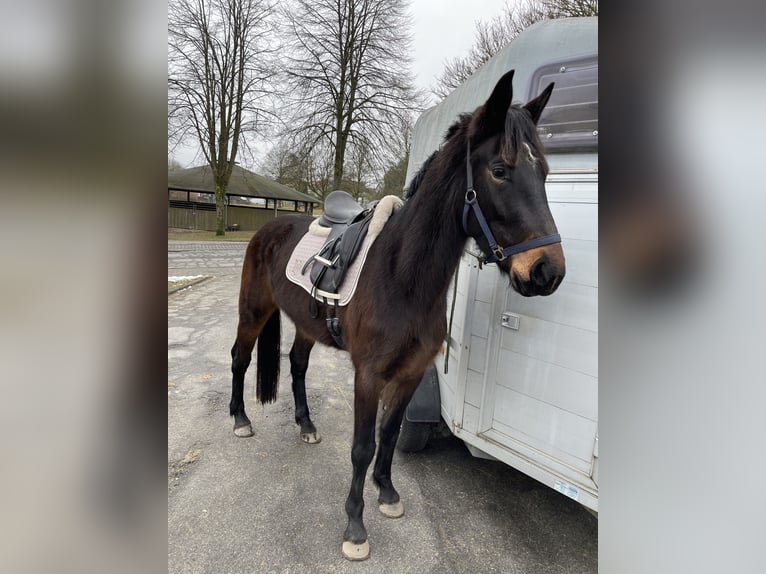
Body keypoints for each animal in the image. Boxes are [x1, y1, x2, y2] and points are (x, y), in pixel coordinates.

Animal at [228, 69, 565, 561]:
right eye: (500, 171)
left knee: (297, 364)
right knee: (240, 357)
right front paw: (354, 526)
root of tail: (268, 228)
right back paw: (239, 420)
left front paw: (386, 494)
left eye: (543, 172)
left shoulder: (411, 372)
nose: (547, 271)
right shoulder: (368, 375)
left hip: (307, 324)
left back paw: (306, 424)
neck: (402, 275)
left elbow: (388, 434)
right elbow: (362, 446)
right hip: (253, 311)